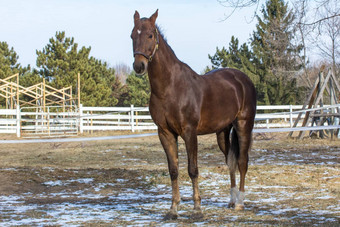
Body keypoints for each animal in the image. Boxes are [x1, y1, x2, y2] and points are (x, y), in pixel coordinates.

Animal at [131, 9, 256, 219]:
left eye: (150, 35)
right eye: (132, 35)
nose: (139, 66)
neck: (170, 88)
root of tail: (242, 79)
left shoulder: (189, 132)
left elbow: (193, 170)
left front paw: (197, 209)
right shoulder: (165, 133)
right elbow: (173, 170)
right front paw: (173, 209)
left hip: (243, 125)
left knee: (242, 162)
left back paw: (239, 203)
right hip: (222, 132)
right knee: (230, 162)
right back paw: (231, 201)